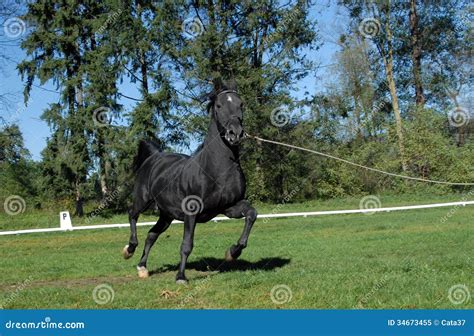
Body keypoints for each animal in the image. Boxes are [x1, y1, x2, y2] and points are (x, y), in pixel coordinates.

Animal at [121, 79, 256, 284]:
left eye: (241, 104)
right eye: (219, 106)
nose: (235, 133)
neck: (216, 169)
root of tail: (154, 156)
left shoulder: (229, 207)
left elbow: (251, 214)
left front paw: (232, 252)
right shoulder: (191, 211)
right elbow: (186, 245)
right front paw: (181, 277)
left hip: (166, 215)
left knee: (152, 234)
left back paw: (142, 268)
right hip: (143, 200)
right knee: (132, 215)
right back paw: (129, 250)